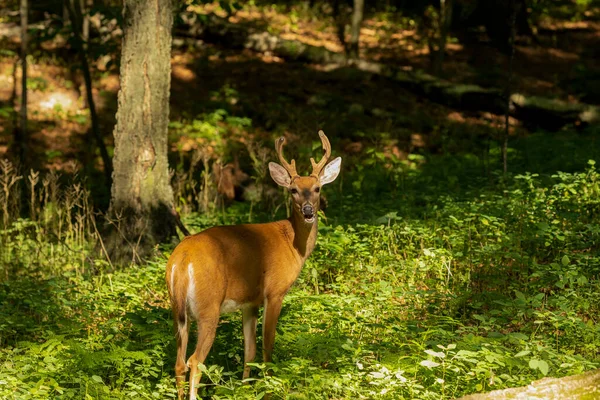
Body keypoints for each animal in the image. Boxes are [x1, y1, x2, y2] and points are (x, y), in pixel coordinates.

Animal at [165, 130, 342, 398]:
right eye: (293, 190)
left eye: (317, 188)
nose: (309, 211)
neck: (292, 243)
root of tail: (183, 259)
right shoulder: (275, 291)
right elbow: (268, 345)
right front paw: (269, 387)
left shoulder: (249, 303)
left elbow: (249, 350)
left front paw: (246, 387)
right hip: (208, 308)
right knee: (194, 361)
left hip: (177, 310)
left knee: (178, 363)